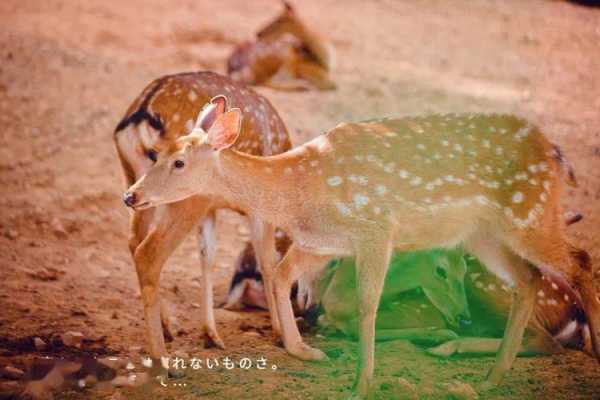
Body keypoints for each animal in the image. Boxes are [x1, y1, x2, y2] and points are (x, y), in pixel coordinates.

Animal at [113, 72, 292, 360]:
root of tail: (143, 109)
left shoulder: (210, 208)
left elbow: (207, 255)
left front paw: (211, 333)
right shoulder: (258, 209)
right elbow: (267, 262)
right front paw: (279, 333)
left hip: (135, 180)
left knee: (134, 240)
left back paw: (168, 327)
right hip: (184, 199)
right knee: (149, 252)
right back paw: (162, 355)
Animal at [123, 104, 600, 398]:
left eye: (179, 163)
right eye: (155, 154)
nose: (130, 195)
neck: (299, 192)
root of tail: (556, 154)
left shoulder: (375, 228)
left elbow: (368, 305)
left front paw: (361, 383)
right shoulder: (321, 242)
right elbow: (282, 276)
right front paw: (307, 352)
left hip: (530, 214)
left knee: (579, 263)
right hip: (483, 234)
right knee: (530, 279)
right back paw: (490, 375)